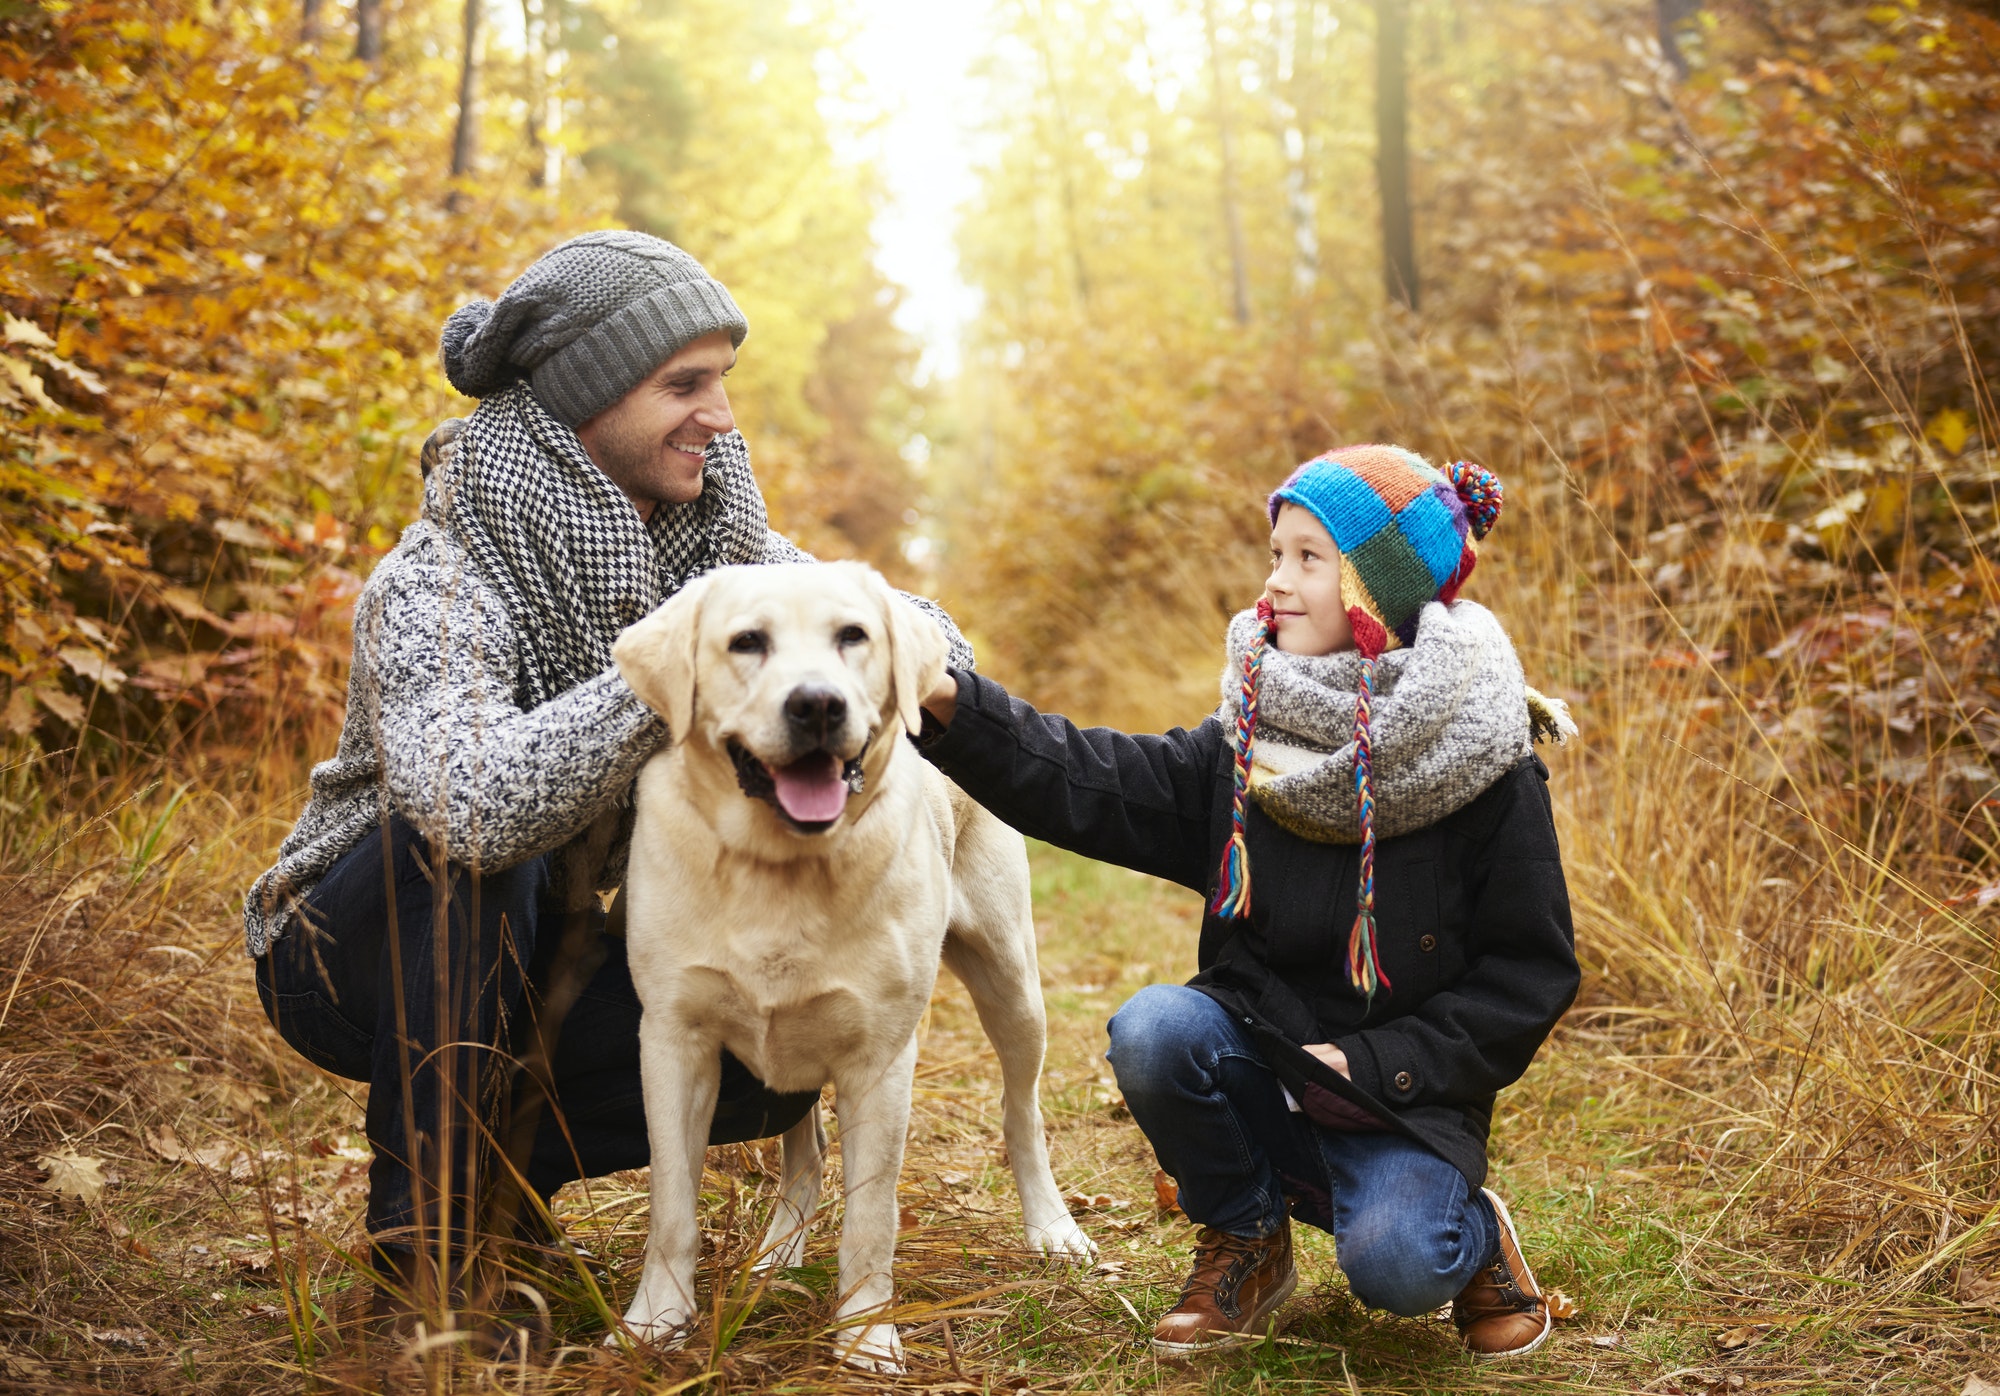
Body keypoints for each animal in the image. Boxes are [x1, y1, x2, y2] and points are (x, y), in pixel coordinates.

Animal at [612, 560, 1096, 1368]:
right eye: (747, 642)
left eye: (853, 636)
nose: (817, 704)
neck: (780, 865)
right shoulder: (673, 1041)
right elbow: (672, 1204)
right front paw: (655, 1321)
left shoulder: (880, 1059)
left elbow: (872, 1217)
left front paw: (867, 1336)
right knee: (804, 1154)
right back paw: (778, 1251)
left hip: (1011, 982)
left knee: (1021, 1110)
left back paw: (1053, 1228)